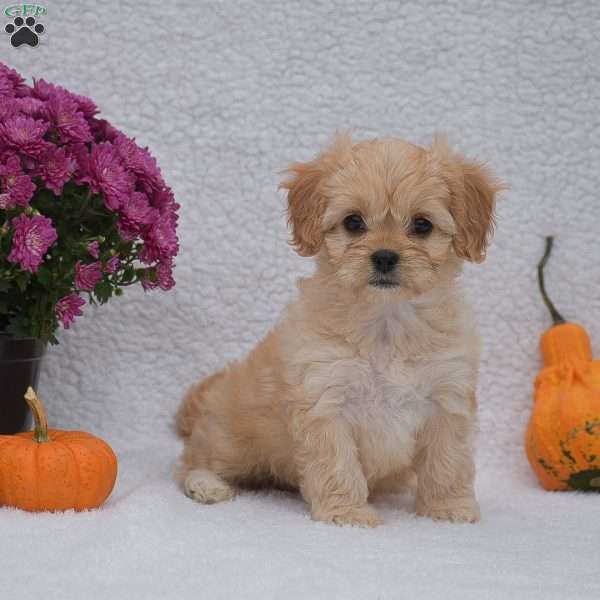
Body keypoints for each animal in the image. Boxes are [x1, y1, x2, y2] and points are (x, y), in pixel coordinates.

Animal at [177, 135, 502, 524]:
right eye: (353, 222)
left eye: (422, 225)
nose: (384, 256)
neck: (387, 323)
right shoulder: (325, 400)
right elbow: (337, 466)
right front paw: (347, 514)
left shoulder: (447, 399)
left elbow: (447, 462)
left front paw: (446, 507)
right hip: (232, 441)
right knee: (192, 460)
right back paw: (206, 484)